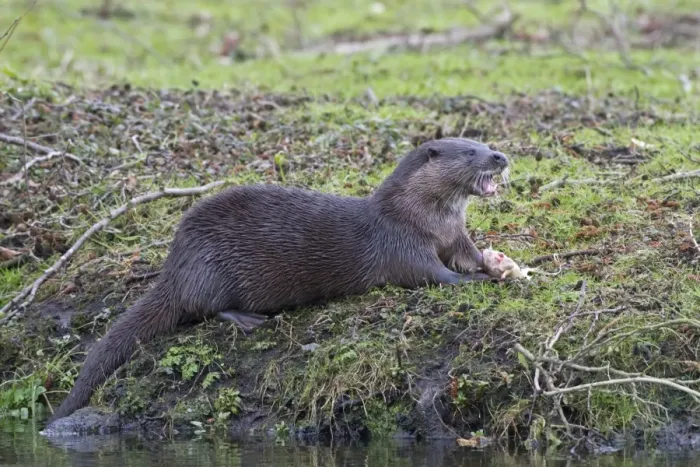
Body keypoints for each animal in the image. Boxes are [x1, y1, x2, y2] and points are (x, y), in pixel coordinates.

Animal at [46, 137, 510, 425]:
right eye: (471, 151)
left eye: (485, 143)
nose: (501, 156)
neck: (424, 217)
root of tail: (173, 267)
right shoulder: (401, 243)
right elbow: (430, 274)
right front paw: (474, 281)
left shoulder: (455, 235)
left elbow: (469, 254)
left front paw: (495, 266)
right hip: (209, 269)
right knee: (203, 308)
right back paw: (247, 318)